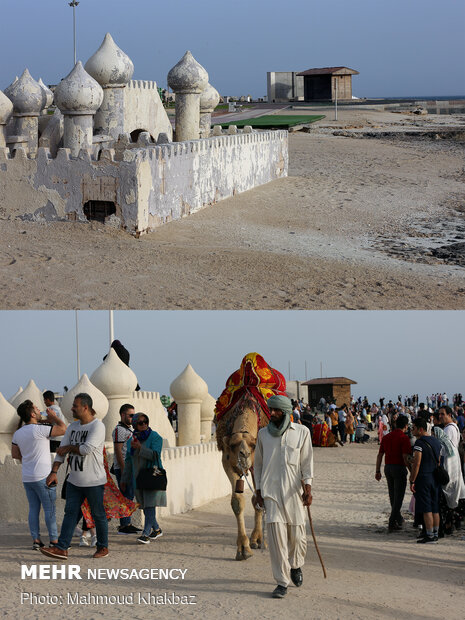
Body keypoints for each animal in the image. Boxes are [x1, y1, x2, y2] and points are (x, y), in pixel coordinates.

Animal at [217, 392, 270, 560]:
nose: (244, 454)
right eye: (234, 445)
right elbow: (237, 502)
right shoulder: (227, 462)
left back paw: (259, 539)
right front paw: (243, 548)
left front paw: (257, 540)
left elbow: (260, 498)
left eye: (253, 445)